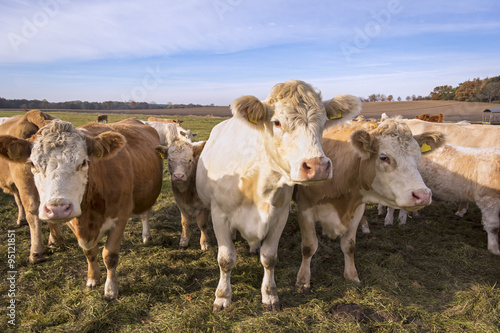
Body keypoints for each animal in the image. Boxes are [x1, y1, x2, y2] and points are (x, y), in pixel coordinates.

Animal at [193, 79, 362, 310]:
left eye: (324, 122)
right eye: (277, 122)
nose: (317, 166)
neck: (258, 183)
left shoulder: (279, 216)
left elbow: (269, 257)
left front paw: (270, 294)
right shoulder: (219, 215)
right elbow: (226, 259)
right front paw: (222, 296)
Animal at [292, 118, 446, 290]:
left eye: (418, 156)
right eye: (384, 157)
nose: (423, 195)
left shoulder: (357, 208)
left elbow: (349, 245)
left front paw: (351, 275)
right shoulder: (305, 208)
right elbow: (309, 246)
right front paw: (303, 280)